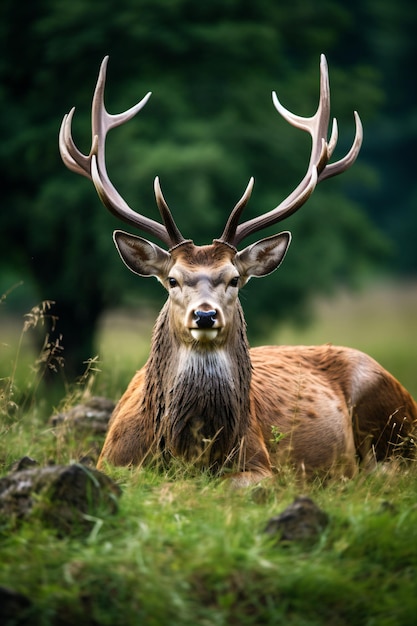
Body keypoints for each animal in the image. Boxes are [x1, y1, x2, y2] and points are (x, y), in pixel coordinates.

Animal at [59, 54, 416, 482]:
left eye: (233, 280)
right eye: (172, 280)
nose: (205, 315)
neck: (188, 454)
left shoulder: (260, 464)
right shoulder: (110, 459)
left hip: (391, 419)